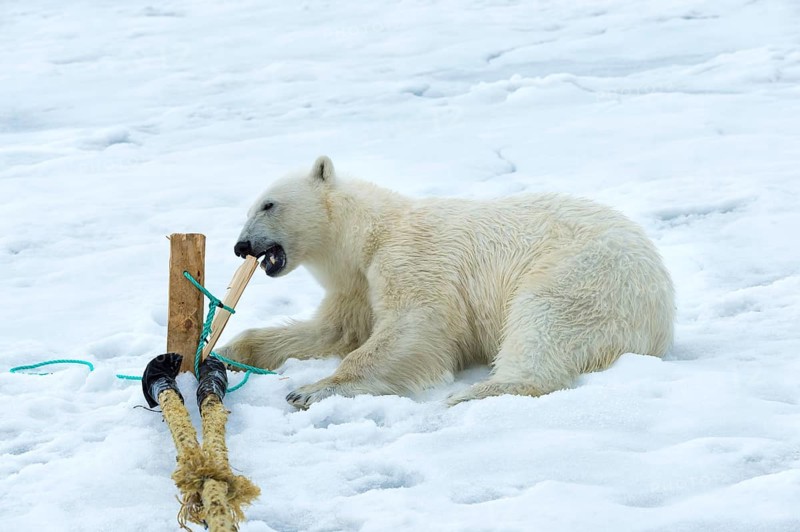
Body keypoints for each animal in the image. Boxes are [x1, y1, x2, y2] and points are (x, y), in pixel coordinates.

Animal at [218, 156, 675, 408]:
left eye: (268, 204)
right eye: (251, 207)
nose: (241, 246)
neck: (370, 234)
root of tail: (661, 310)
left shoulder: (411, 259)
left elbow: (414, 327)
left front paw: (311, 389)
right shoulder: (356, 285)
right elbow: (334, 330)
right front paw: (226, 352)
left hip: (582, 274)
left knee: (544, 322)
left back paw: (478, 391)